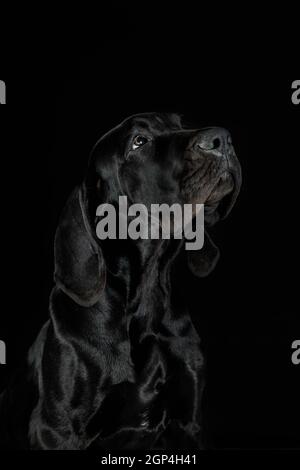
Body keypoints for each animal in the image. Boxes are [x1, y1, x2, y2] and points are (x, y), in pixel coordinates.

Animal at [0, 112, 241, 450]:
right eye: (138, 142)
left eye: (180, 123)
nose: (221, 139)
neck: (145, 303)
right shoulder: (56, 430)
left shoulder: (187, 423)